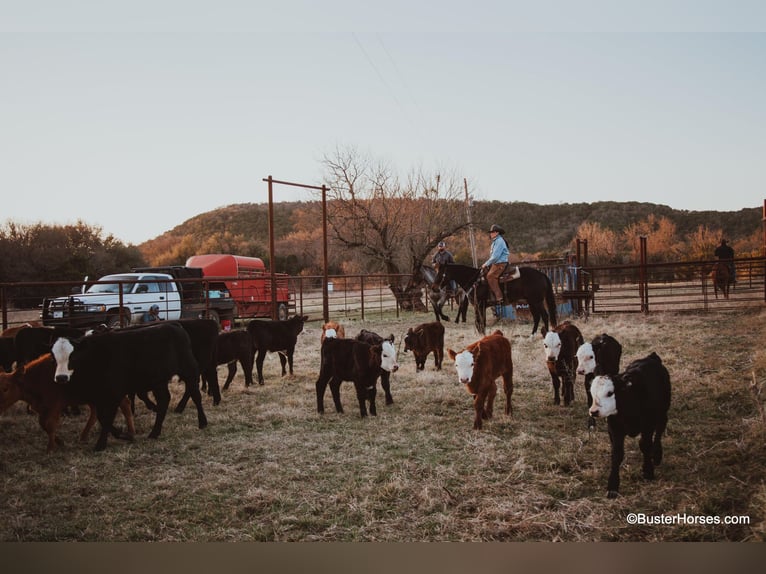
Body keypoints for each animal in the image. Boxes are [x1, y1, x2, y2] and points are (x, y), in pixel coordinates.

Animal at [51, 324, 208, 454]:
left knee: (195, 395)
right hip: (159, 381)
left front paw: (101, 444)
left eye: (72, 356)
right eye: (53, 357)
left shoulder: (114, 394)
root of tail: (175, 326)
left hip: (189, 371)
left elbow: (107, 418)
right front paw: (122, 434)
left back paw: (202, 422)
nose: (61, 377)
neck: (97, 357)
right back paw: (154, 432)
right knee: (164, 400)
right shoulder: (99, 396)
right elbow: (102, 418)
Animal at [592, 354, 668, 498]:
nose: (593, 411)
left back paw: (657, 455)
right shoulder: (615, 429)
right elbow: (617, 454)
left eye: (610, 393)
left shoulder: (648, 425)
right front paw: (613, 486)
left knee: (660, 429)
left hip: (662, 410)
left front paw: (648, 471)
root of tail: (651, 357)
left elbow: (645, 445)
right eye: (592, 393)